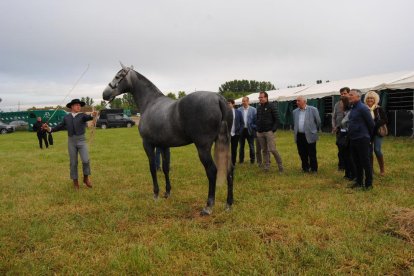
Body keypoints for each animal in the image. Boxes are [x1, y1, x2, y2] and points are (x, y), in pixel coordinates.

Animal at [102, 63, 234, 215]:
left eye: (118, 76)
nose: (104, 94)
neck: (150, 102)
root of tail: (218, 98)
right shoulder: (163, 145)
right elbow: (165, 168)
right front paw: (167, 193)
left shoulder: (148, 144)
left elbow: (152, 168)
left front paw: (156, 194)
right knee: (230, 169)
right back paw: (229, 204)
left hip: (203, 147)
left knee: (212, 171)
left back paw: (208, 207)